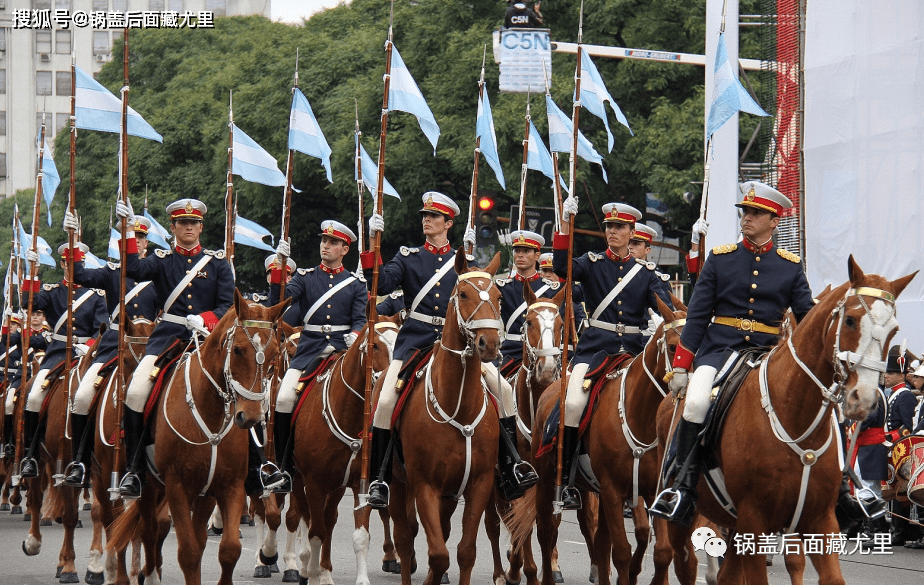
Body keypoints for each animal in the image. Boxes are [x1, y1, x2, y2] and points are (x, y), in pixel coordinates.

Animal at [108, 290, 288, 580]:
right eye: (237, 349)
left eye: (273, 354)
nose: (249, 417)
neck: (211, 412)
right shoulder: (177, 488)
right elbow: (188, 553)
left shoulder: (230, 486)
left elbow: (229, 549)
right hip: (150, 486)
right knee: (149, 531)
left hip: (203, 494)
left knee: (193, 536)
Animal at [388, 249, 506, 584]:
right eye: (463, 294)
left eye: (498, 296)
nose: (489, 343)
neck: (459, 406)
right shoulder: (424, 484)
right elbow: (438, 554)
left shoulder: (478, 483)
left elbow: (465, 551)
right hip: (397, 482)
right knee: (405, 538)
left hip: (451, 494)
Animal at [656, 256, 916, 584]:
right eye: (850, 320)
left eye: (894, 329)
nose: (865, 399)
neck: (795, 416)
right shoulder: (754, 520)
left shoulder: (819, 520)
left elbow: (813, 568)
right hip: (685, 520)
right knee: (682, 559)